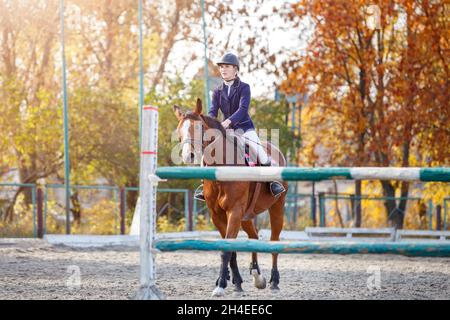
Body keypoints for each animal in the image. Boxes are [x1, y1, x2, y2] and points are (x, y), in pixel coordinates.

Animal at [173, 98, 288, 298]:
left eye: (199, 128)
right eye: (180, 130)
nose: (189, 156)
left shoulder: (234, 212)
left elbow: (227, 249)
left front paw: (220, 286)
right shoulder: (217, 215)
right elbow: (230, 249)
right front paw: (236, 282)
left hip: (276, 208)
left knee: (274, 241)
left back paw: (274, 281)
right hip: (246, 216)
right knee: (254, 237)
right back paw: (257, 276)